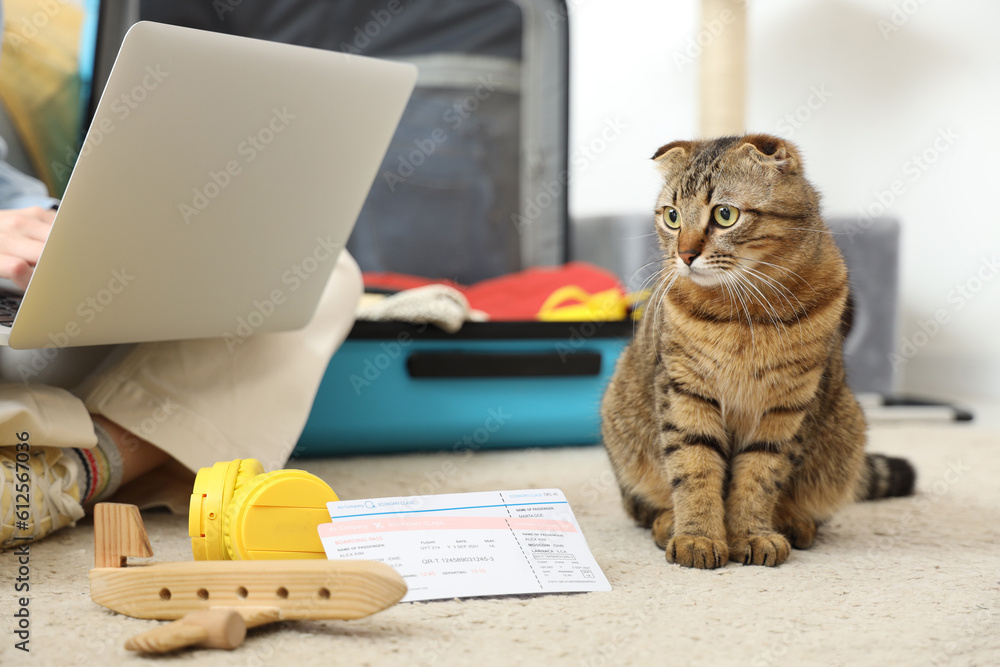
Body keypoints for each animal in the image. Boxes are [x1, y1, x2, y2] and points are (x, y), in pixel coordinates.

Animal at [596, 134, 916, 568]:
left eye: (725, 214)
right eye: (673, 217)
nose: (684, 254)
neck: (746, 314)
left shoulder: (788, 404)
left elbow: (760, 475)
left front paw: (750, 533)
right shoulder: (686, 390)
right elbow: (693, 467)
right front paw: (697, 536)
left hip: (846, 432)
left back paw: (795, 523)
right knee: (642, 508)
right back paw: (667, 523)